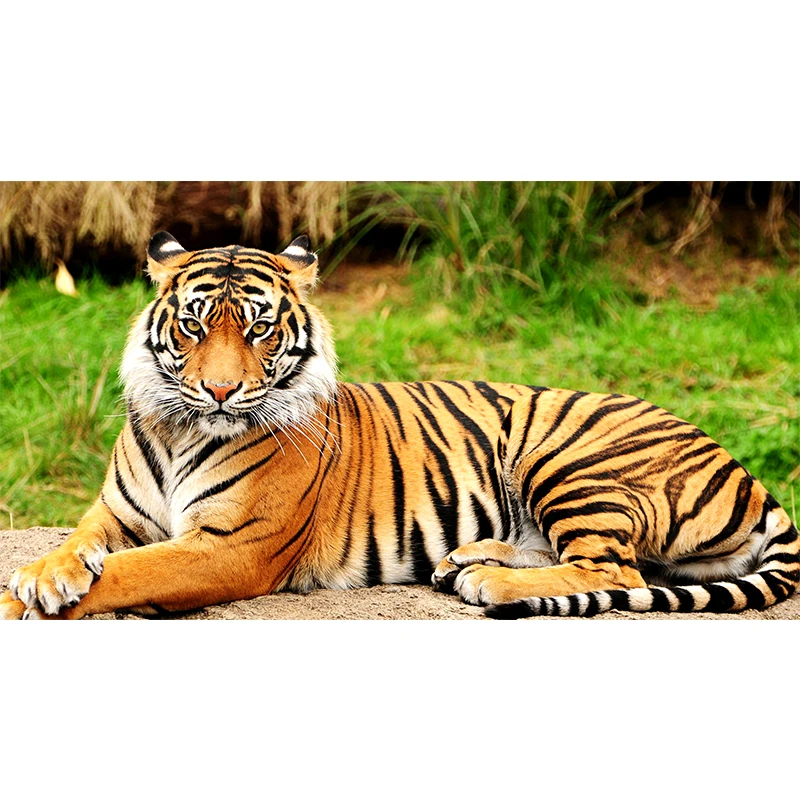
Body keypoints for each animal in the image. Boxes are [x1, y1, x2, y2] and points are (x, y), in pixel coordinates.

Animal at [1, 231, 797, 620]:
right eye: (194, 325)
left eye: (259, 329)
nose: (220, 391)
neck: (179, 428)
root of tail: (748, 475)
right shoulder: (115, 514)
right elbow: (79, 546)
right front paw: (44, 575)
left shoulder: (232, 546)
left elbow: (132, 573)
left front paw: (25, 600)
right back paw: (467, 560)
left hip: (565, 453)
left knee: (614, 567)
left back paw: (489, 584)